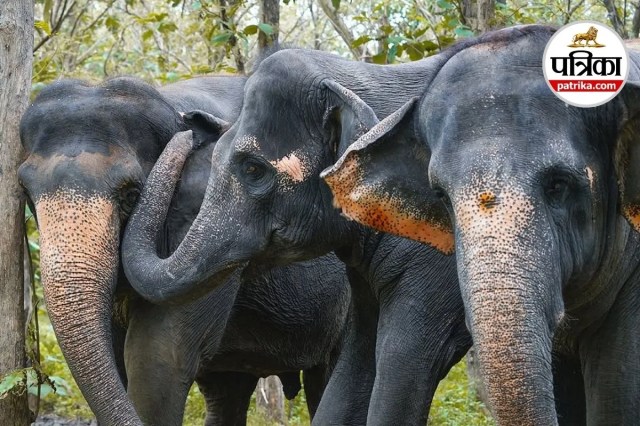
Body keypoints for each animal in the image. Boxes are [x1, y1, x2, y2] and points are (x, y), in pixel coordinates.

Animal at [18, 76, 350, 425]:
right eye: (25, 191)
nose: (186, 137)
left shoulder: (212, 222)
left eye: (131, 194)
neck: (171, 104)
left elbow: (157, 359)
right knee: (227, 392)